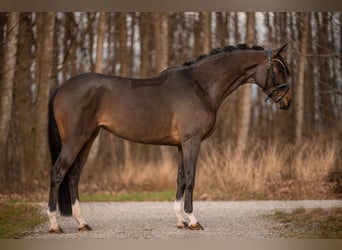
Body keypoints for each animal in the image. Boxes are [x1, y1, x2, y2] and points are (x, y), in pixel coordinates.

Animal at [46, 43, 292, 232]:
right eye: (280, 70)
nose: (287, 101)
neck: (200, 86)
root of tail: (61, 86)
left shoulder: (182, 144)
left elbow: (180, 179)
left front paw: (181, 220)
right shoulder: (192, 141)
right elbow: (191, 178)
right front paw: (193, 220)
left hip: (88, 139)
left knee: (73, 176)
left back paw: (82, 222)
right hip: (75, 140)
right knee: (58, 173)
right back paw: (55, 224)